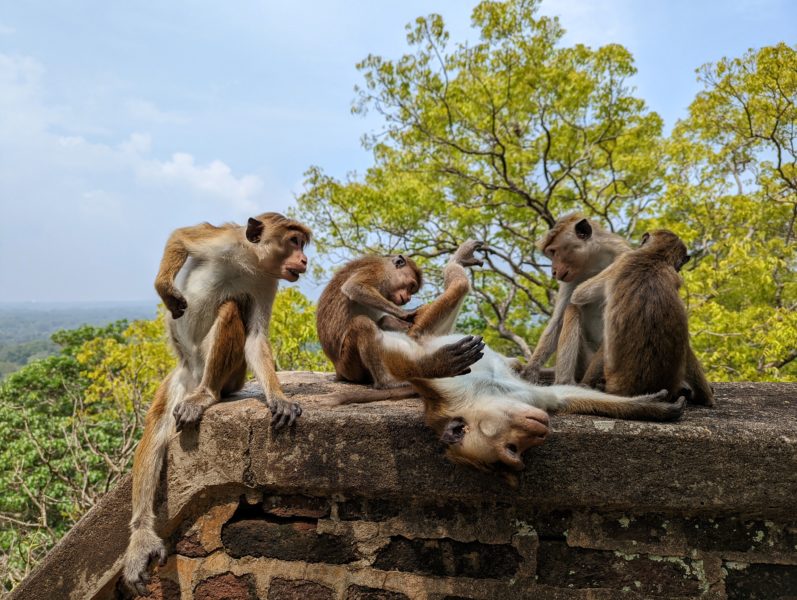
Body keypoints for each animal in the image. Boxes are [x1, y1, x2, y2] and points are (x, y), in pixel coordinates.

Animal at [122, 211, 310, 592]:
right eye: (293, 241)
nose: (304, 260)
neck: (250, 262)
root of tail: (194, 377)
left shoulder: (267, 283)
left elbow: (255, 338)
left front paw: (278, 396)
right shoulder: (224, 242)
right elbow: (181, 237)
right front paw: (166, 290)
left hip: (230, 377)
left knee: (230, 307)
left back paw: (207, 394)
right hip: (181, 378)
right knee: (158, 425)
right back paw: (142, 536)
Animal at [318, 251, 426, 386]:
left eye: (412, 289)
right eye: (411, 286)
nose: (408, 298)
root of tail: (338, 371)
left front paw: (405, 324)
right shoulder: (378, 271)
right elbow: (354, 287)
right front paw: (405, 313)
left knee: (382, 321)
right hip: (348, 365)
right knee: (363, 323)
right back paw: (386, 381)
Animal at [520, 214, 632, 384]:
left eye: (554, 252)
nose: (553, 272)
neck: (594, 262)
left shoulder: (622, 251)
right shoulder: (571, 279)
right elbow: (558, 320)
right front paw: (531, 369)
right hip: (585, 359)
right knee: (572, 309)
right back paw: (565, 381)